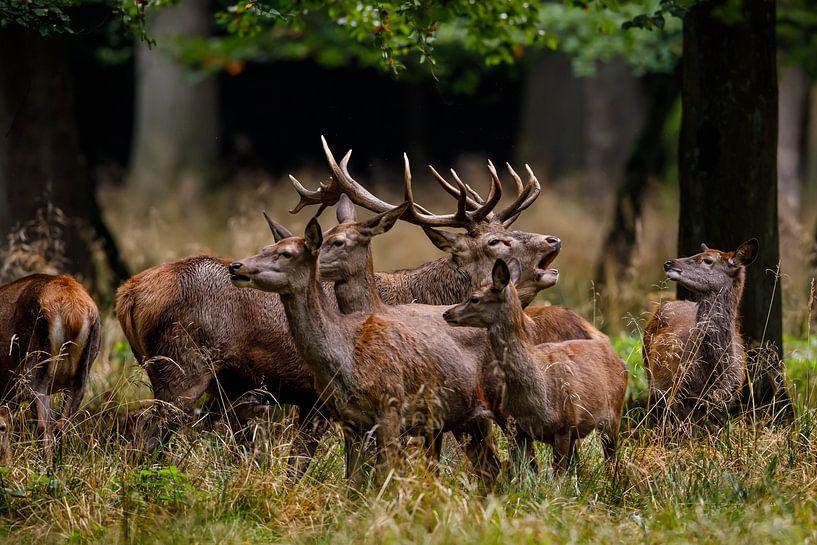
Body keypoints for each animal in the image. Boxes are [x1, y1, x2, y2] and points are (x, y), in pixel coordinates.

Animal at [229, 218, 502, 487]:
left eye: (286, 253)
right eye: (265, 247)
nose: (236, 266)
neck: (346, 358)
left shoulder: (391, 408)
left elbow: (385, 476)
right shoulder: (350, 420)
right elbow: (353, 481)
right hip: (468, 419)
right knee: (492, 468)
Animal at [443, 259, 628, 473]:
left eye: (474, 298)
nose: (446, 313)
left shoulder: (563, 426)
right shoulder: (519, 430)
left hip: (613, 416)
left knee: (611, 461)